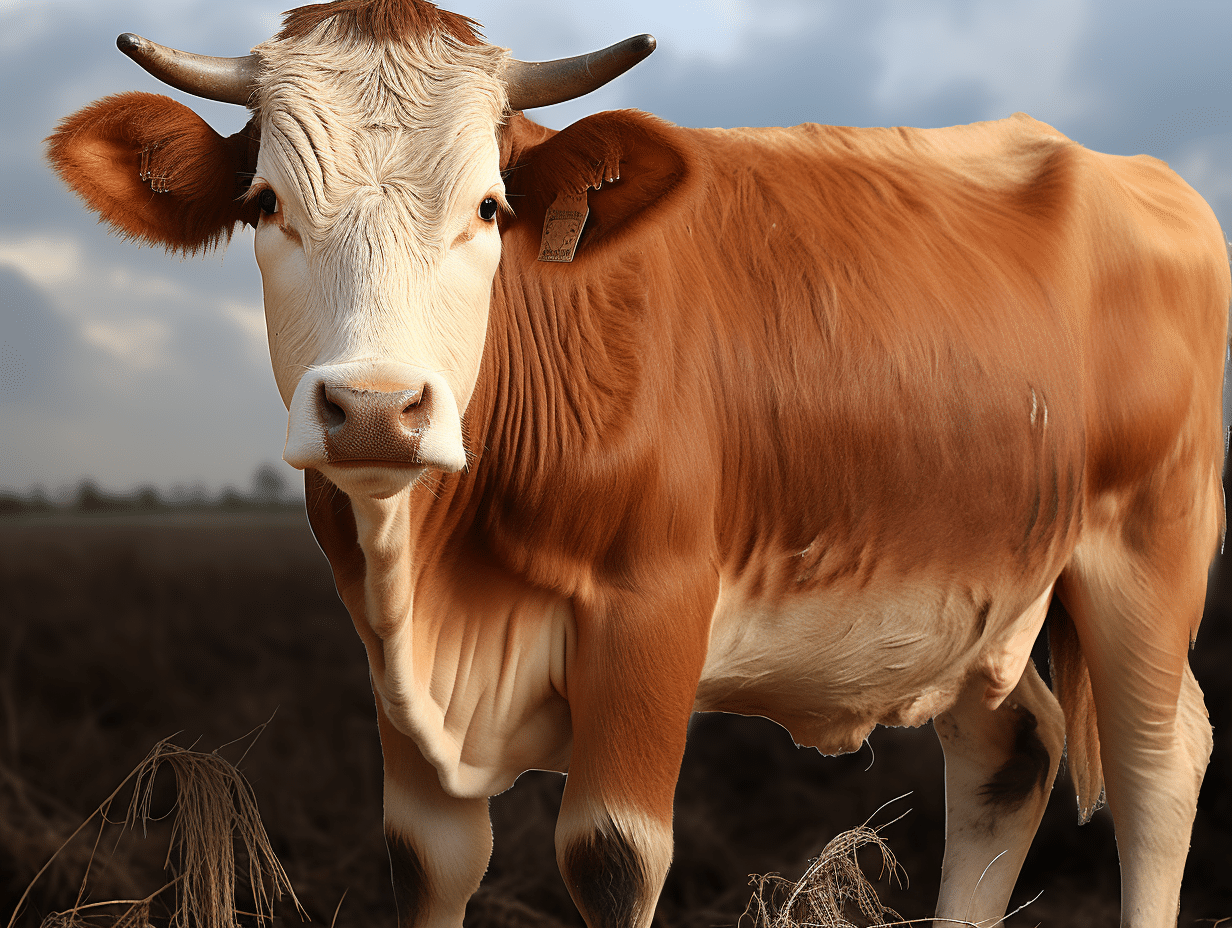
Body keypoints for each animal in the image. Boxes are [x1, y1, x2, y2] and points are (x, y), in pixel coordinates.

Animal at [46, 2, 1227, 926]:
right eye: (265, 206)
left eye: (489, 207)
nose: (375, 410)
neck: (446, 582)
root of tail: (1135, 173)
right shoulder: (387, 649)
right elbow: (427, 863)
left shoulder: (651, 615)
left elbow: (611, 860)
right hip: (972, 584)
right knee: (1007, 757)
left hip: (1147, 545)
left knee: (1155, 765)